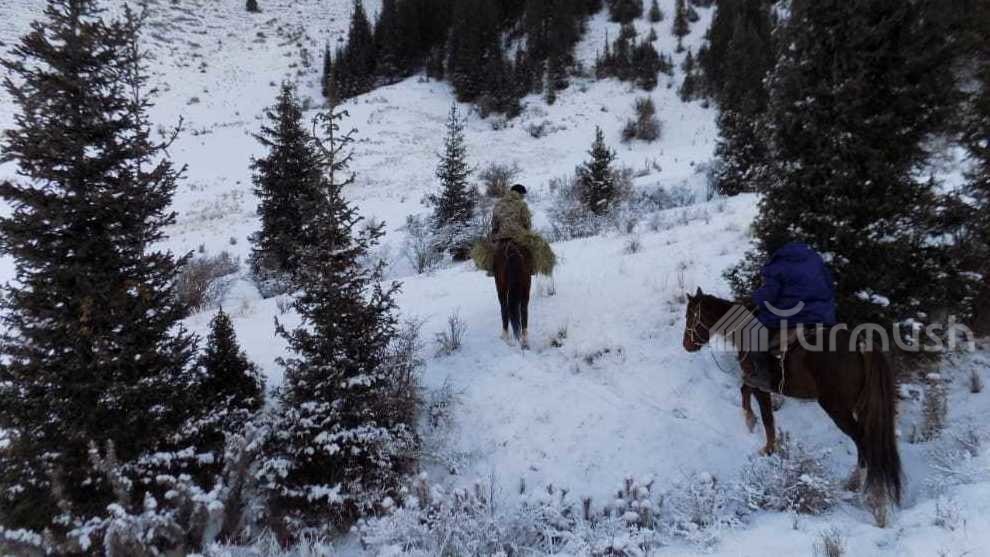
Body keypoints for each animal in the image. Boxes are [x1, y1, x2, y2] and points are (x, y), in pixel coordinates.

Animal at [681, 287, 903, 517]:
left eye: (690, 315)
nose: (686, 345)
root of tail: (861, 345)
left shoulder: (761, 385)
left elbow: (767, 417)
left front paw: (767, 448)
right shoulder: (752, 380)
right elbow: (745, 391)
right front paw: (750, 422)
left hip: (837, 408)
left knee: (862, 440)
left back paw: (857, 486)